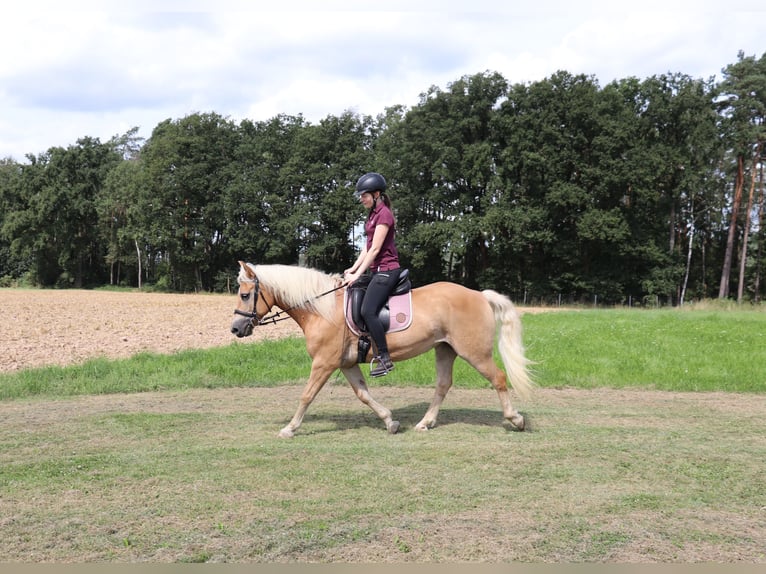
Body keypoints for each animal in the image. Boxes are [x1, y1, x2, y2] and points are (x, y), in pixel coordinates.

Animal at [231, 264, 536, 438]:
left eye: (245, 295)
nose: (235, 329)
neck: (322, 310)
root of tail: (478, 295)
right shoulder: (346, 364)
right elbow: (363, 394)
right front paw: (390, 422)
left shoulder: (324, 363)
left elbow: (307, 395)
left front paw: (290, 428)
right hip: (445, 349)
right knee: (443, 385)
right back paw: (425, 423)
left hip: (474, 352)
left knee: (498, 378)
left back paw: (516, 419)